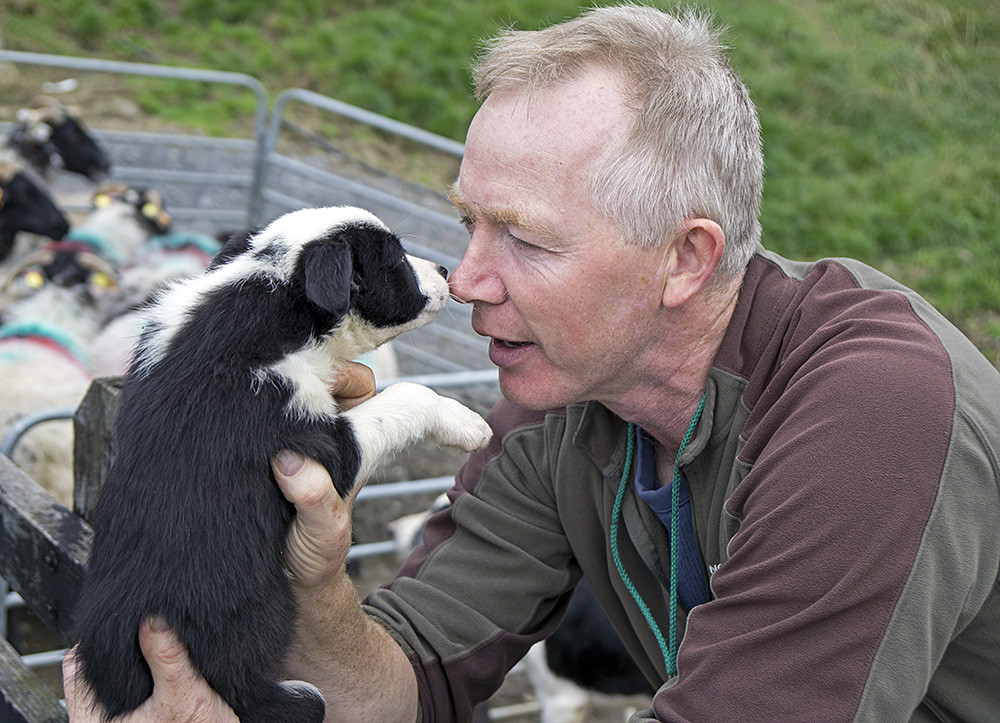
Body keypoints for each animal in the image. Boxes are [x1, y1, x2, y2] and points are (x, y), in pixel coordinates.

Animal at [72, 205, 494, 723]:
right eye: (395, 259)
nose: (444, 270)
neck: (270, 301)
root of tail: (116, 680)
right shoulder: (318, 441)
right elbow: (405, 396)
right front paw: (469, 424)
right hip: (248, 647)